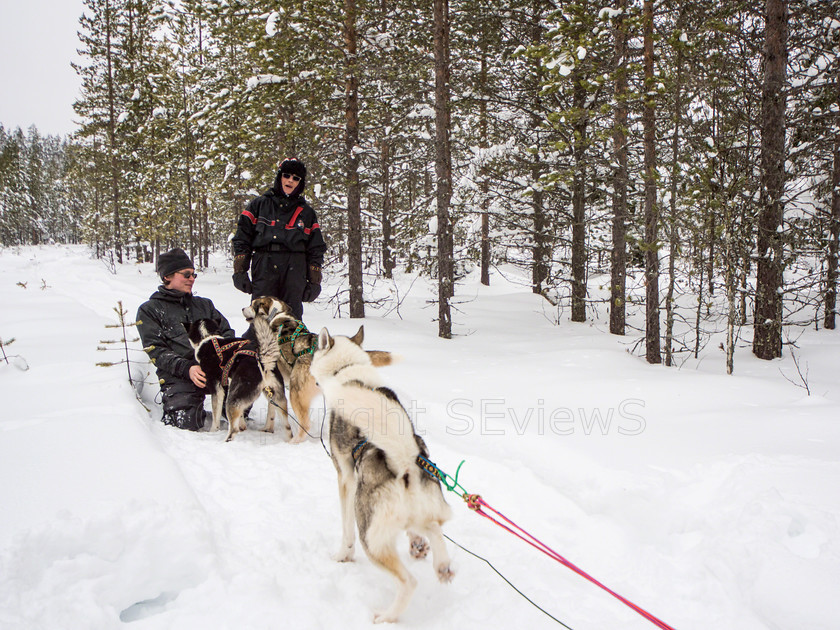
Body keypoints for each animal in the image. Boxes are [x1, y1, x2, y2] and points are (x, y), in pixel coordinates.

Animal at [308, 328, 452, 624]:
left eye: (316, 348)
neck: (348, 371)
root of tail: (405, 463)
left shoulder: (345, 479)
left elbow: (345, 530)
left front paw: (342, 555)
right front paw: (417, 545)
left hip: (371, 537)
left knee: (408, 582)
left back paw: (387, 617)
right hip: (419, 512)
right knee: (433, 527)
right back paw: (442, 564)